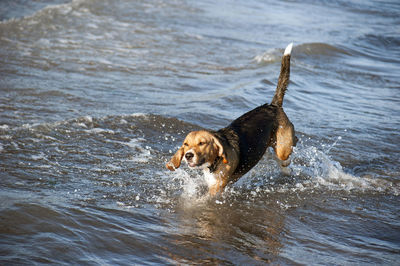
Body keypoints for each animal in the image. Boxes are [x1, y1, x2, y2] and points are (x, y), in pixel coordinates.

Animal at [166, 42, 296, 194]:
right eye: (186, 144)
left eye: (202, 143)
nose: (188, 155)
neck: (214, 161)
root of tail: (273, 105)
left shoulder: (216, 189)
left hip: (283, 148)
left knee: (288, 150)